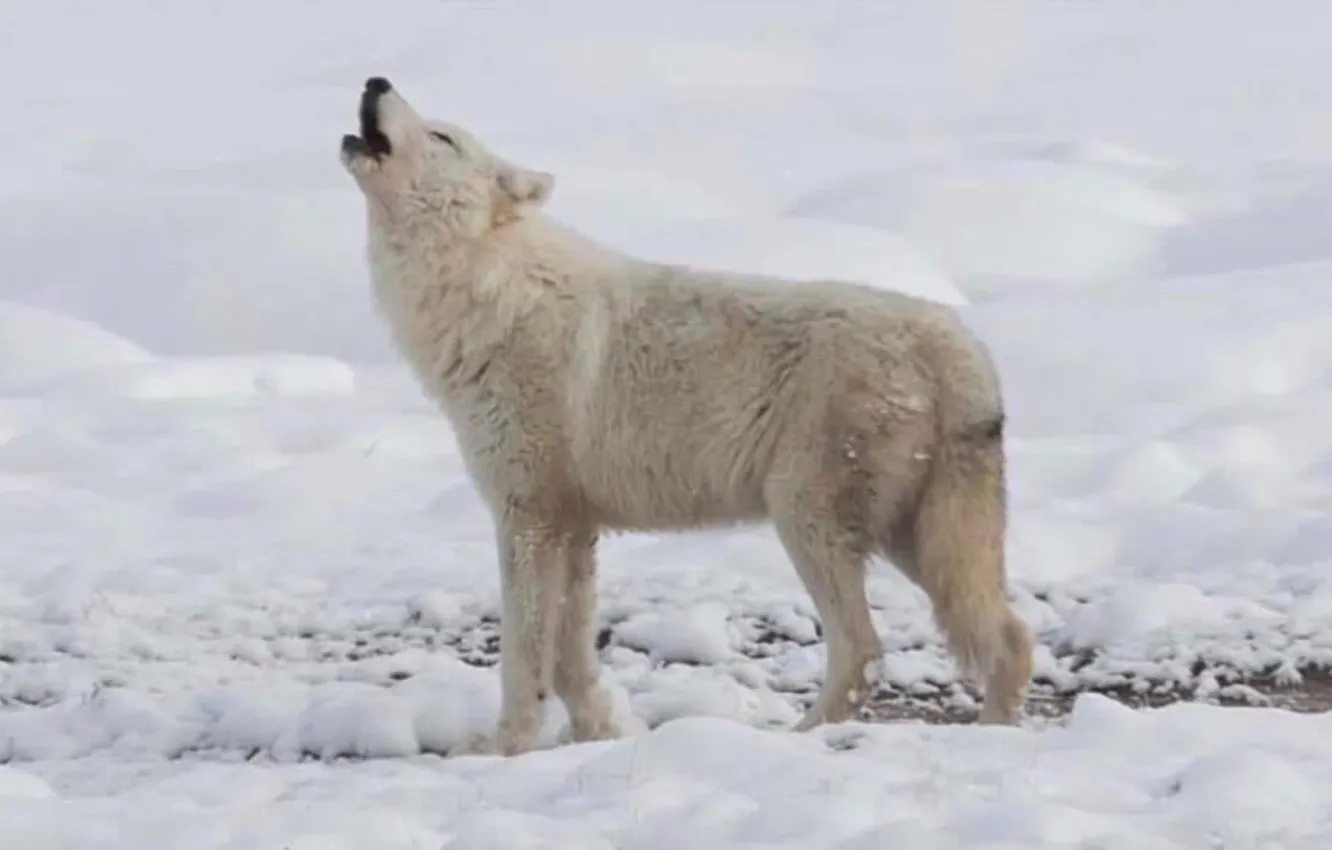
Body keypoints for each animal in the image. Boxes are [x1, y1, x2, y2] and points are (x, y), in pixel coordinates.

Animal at [339, 76, 1034, 757]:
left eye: (442, 137)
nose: (376, 80)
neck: (489, 292)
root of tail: (959, 344)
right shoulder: (573, 528)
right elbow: (570, 657)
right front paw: (597, 735)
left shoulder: (527, 519)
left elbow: (524, 654)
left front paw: (501, 747)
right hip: (912, 540)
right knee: (1010, 637)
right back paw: (996, 737)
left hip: (808, 521)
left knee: (864, 649)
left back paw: (795, 741)